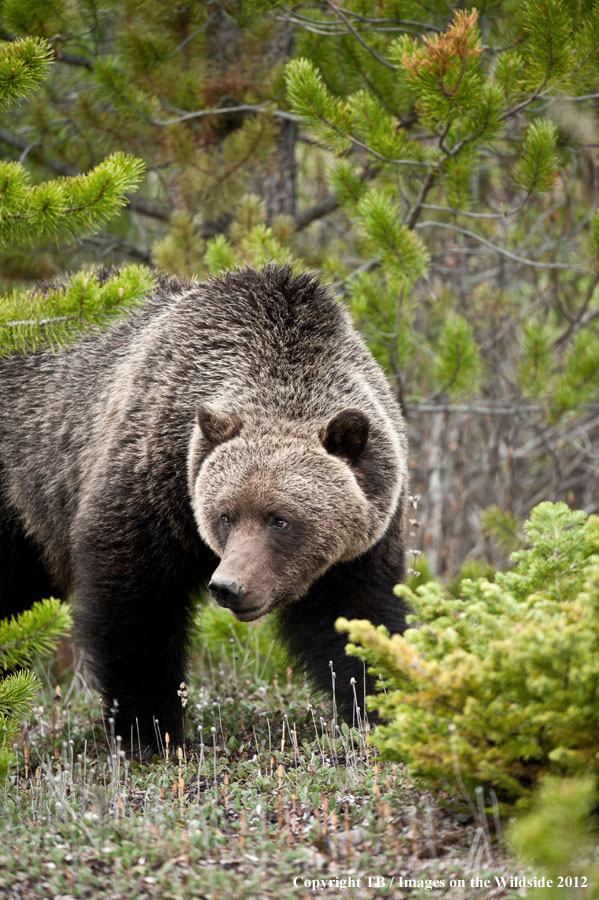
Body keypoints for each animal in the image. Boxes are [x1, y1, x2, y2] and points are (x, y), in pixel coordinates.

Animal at [0, 266, 408, 752]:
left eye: (280, 519)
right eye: (225, 515)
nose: (228, 587)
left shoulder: (363, 539)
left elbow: (357, 614)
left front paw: (379, 705)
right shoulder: (155, 481)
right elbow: (136, 608)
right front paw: (152, 730)